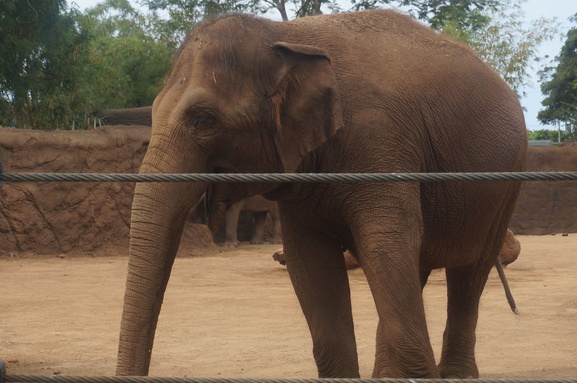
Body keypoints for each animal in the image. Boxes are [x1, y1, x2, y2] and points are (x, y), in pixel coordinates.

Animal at [117, 10, 528, 380]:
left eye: (204, 120)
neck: (285, 36)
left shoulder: (382, 143)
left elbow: (384, 245)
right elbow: (310, 263)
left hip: (508, 180)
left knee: (469, 271)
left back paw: (455, 374)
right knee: (419, 264)